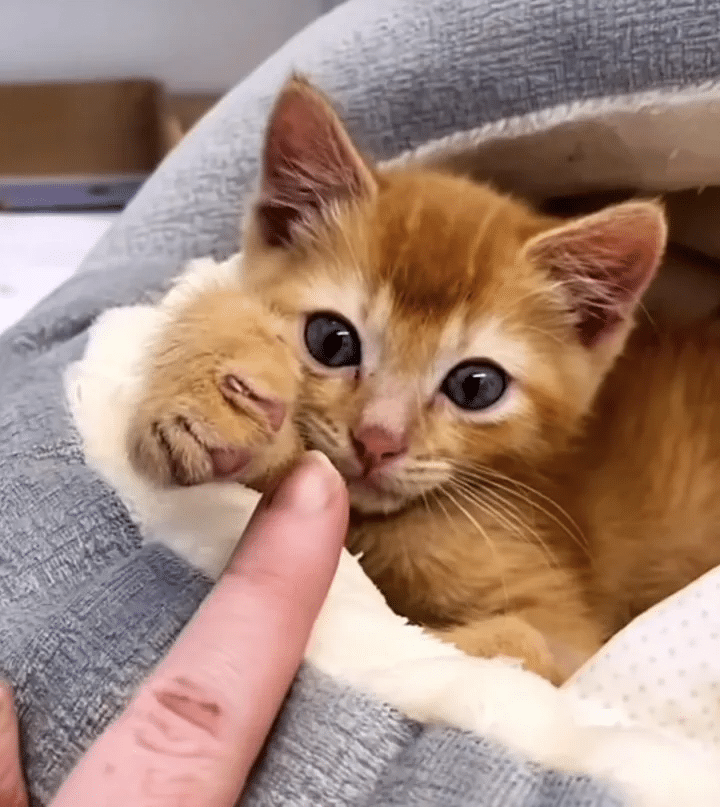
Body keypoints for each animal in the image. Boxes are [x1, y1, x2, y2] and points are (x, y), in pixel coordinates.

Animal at [126, 76, 720, 684]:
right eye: (332, 341)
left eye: (476, 387)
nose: (378, 440)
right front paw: (203, 395)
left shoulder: (567, 637)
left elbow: (506, 646)